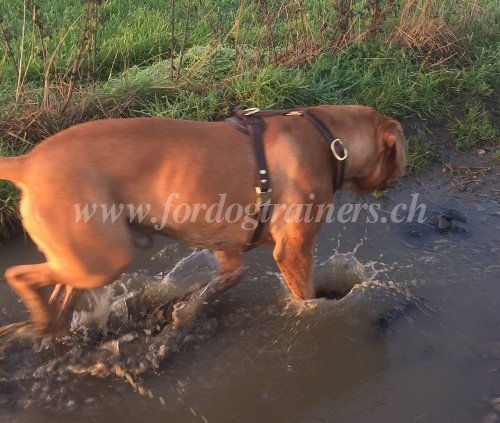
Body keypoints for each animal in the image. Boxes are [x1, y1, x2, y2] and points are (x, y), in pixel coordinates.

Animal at [0, 107, 406, 338]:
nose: (396, 178)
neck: (329, 138)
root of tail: (27, 163)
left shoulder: (227, 251)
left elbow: (221, 282)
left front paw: (187, 309)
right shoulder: (293, 252)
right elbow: (305, 296)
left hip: (83, 259)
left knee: (60, 293)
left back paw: (50, 327)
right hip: (102, 260)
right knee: (18, 275)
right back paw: (38, 319)